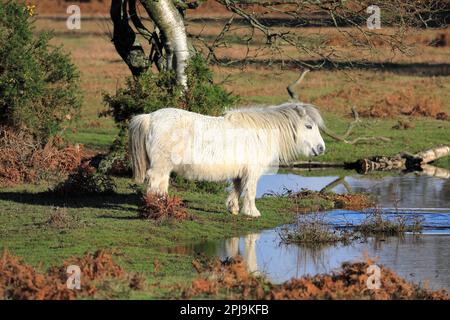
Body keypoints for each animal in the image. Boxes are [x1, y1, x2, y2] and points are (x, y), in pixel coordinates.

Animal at [128, 102, 326, 218]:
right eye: (309, 126)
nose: (321, 148)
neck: (260, 132)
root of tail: (149, 117)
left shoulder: (239, 172)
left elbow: (237, 190)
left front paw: (234, 208)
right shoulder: (252, 172)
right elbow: (250, 192)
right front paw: (252, 212)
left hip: (165, 167)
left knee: (161, 185)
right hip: (161, 166)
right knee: (155, 183)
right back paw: (156, 208)